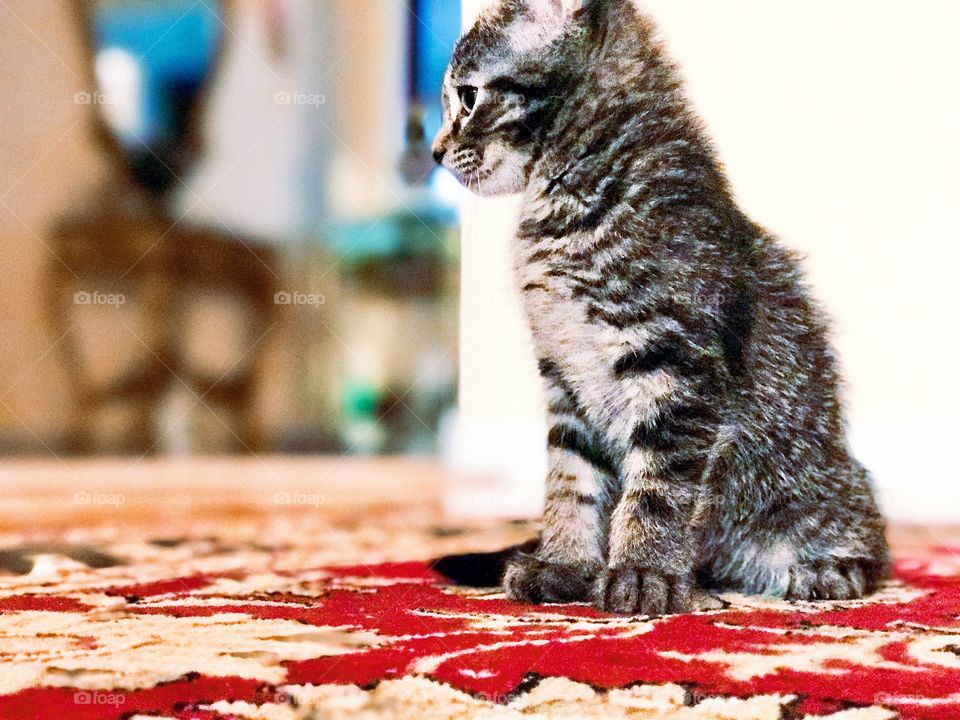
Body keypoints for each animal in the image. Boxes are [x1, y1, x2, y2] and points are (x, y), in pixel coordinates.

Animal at [432, 0, 888, 616]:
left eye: (468, 97)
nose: (434, 151)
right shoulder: (564, 376)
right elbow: (570, 477)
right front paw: (565, 564)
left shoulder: (677, 366)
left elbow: (658, 487)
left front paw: (643, 572)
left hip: (823, 487)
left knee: (864, 536)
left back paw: (826, 569)